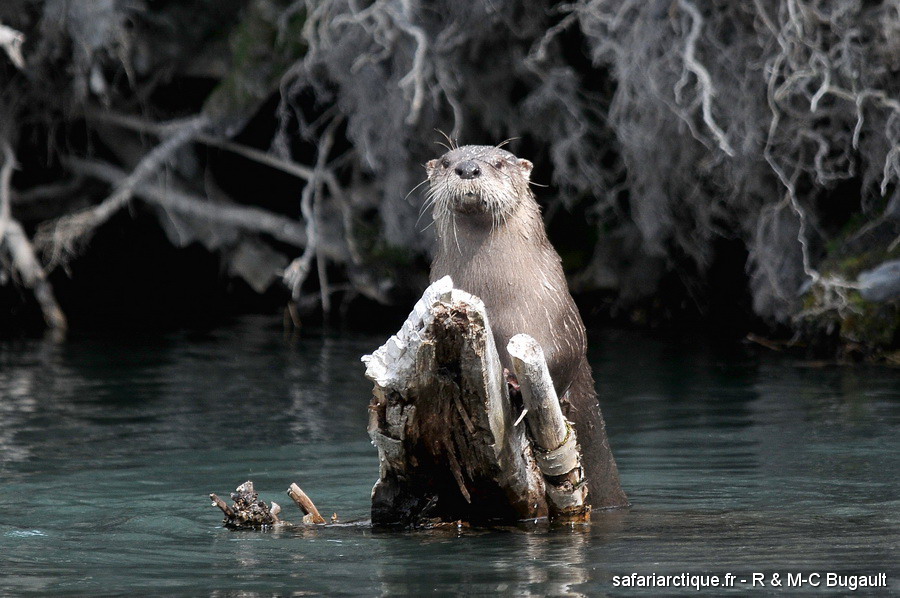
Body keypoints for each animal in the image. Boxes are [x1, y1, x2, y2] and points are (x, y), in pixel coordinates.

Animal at [428, 143, 624, 508]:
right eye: (447, 162)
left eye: (499, 162)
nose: (468, 168)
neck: (494, 294)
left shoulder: (560, 318)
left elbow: (565, 355)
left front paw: (515, 383)